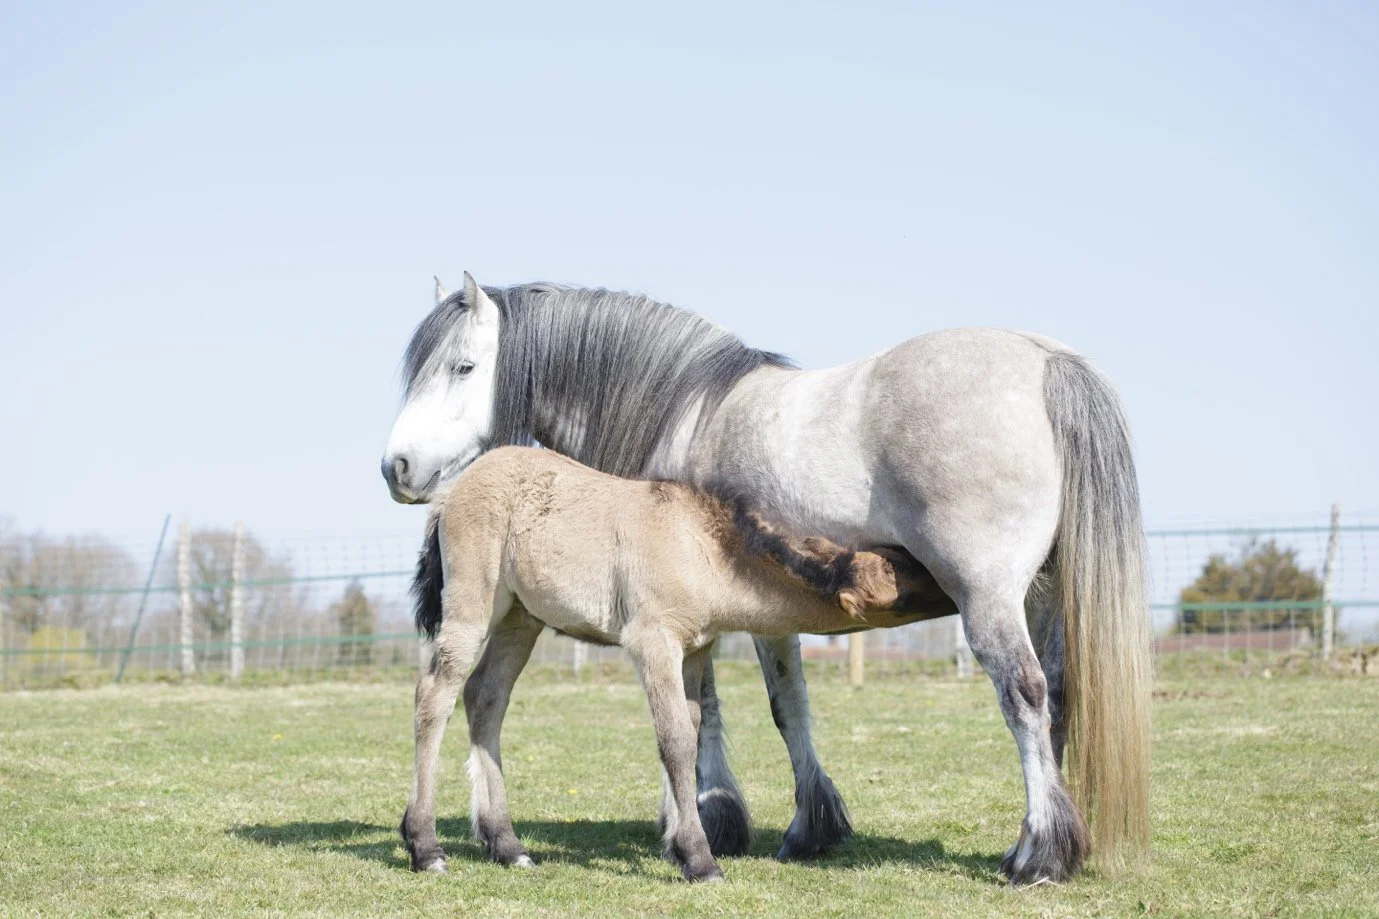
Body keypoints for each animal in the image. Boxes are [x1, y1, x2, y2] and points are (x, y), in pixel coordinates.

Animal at [398, 445, 955, 881]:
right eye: (911, 574)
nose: (956, 579)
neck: (700, 547)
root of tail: (450, 493)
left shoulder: (695, 649)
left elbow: (691, 732)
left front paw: (684, 846)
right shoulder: (653, 642)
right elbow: (674, 741)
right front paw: (700, 859)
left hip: (521, 617)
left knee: (485, 697)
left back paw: (507, 846)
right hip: (473, 604)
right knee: (435, 696)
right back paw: (425, 847)